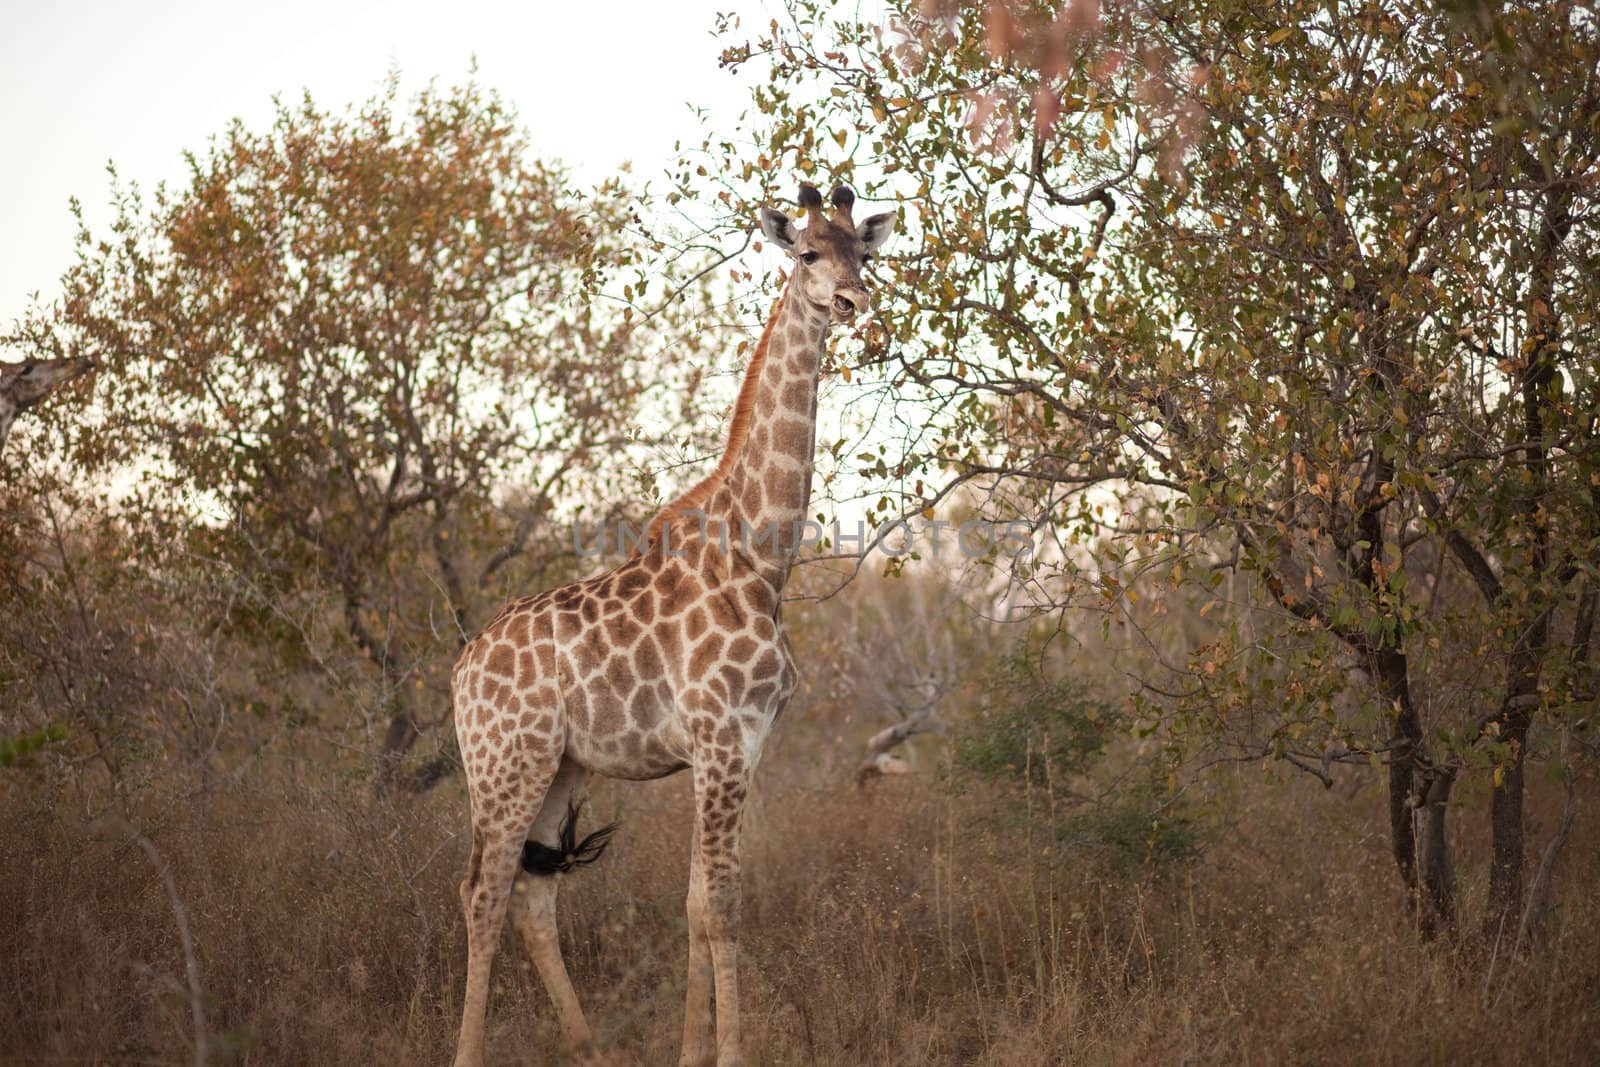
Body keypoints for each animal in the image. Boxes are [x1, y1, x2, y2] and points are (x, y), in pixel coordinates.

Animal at [454, 185, 902, 1067]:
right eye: (807, 253)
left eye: (861, 252)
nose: (852, 301)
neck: (761, 561)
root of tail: (459, 669)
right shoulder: (720, 739)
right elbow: (720, 907)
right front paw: (729, 1053)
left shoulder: (740, 744)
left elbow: (696, 902)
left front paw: (693, 1051)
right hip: (504, 765)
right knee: (480, 891)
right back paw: (469, 1054)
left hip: (560, 767)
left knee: (527, 896)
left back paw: (587, 1047)